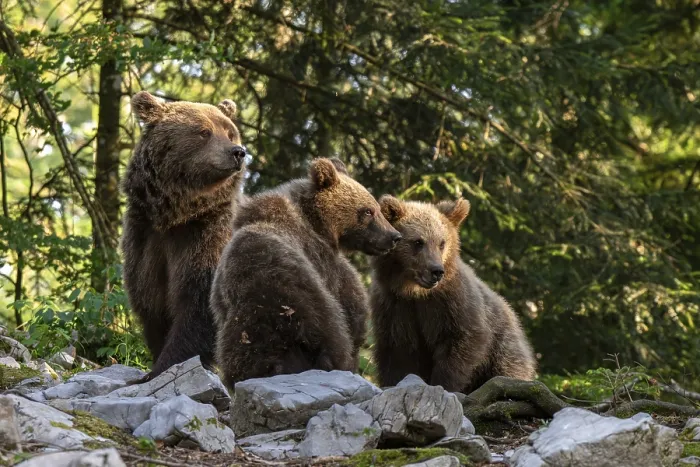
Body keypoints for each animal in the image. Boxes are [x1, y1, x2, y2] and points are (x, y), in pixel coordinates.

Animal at [121, 91, 247, 381]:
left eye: (230, 132)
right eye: (204, 131)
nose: (238, 152)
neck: (175, 217)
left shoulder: (207, 236)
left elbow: (199, 304)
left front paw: (163, 366)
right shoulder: (145, 240)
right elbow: (152, 303)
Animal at [211, 158, 402, 388]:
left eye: (376, 208)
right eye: (368, 211)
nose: (394, 236)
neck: (317, 223)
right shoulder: (321, 258)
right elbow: (351, 300)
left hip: (239, 334)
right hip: (306, 306)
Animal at [369, 195, 536, 394]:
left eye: (442, 242)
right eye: (418, 241)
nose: (436, 271)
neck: (415, 292)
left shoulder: (452, 304)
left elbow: (462, 342)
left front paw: (443, 383)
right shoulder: (394, 307)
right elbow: (396, 353)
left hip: (504, 346)